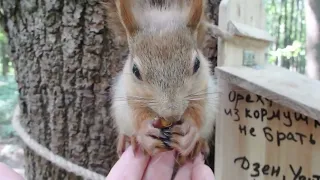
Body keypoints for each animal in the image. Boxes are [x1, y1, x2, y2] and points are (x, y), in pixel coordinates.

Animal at [102, 0, 230, 167]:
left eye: (197, 64)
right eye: (135, 70)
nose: (172, 115)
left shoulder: (202, 89)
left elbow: (198, 111)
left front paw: (190, 131)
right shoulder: (132, 93)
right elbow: (137, 113)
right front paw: (144, 132)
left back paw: (199, 144)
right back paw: (126, 138)